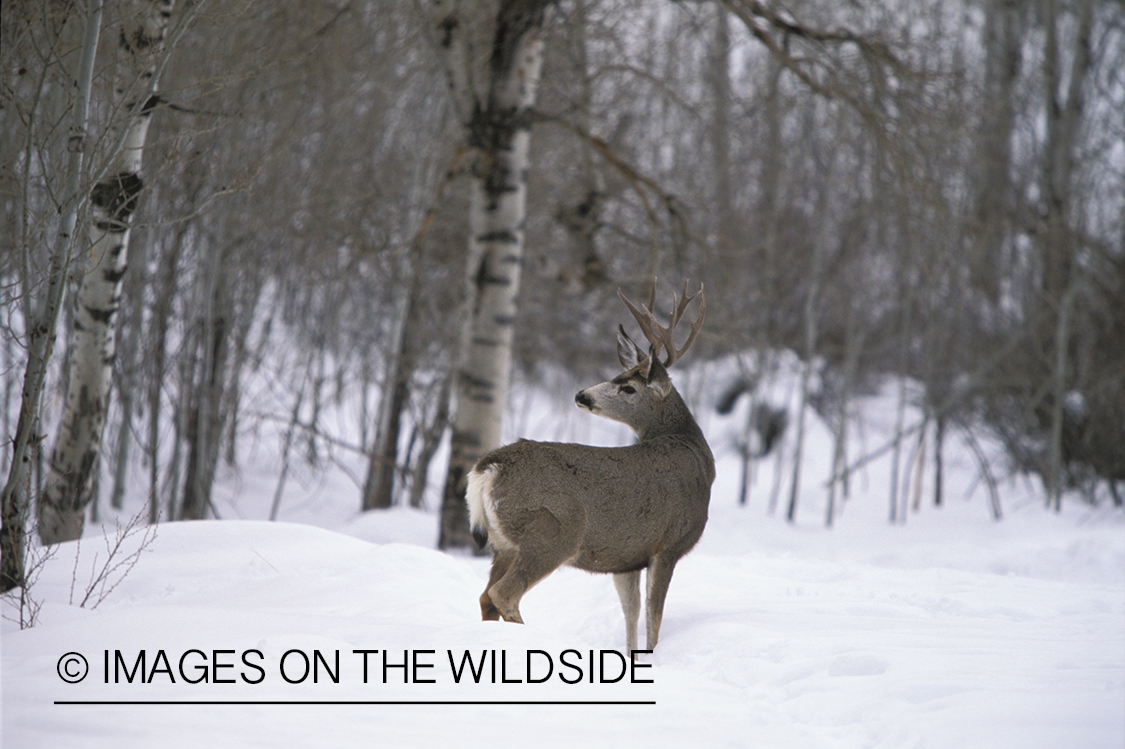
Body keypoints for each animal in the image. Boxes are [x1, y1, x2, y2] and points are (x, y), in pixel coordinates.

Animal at [463, 280, 711, 652]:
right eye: (618, 376)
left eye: (628, 386)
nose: (582, 395)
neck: (692, 449)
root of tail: (488, 467)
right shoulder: (668, 544)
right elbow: (653, 618)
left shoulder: (627, 556)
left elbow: (631, 614)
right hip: (549, 533)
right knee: (503, 594)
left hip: (503, 544)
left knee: (484, 597)